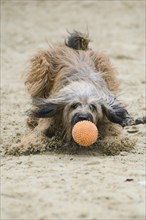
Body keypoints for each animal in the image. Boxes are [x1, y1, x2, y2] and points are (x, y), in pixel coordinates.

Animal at [9, 31, 145, 155]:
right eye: (74, 105)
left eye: (93, 107)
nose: (83, 117)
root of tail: (78, 49)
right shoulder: (50, 119)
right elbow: (37, 133)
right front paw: (22, 145)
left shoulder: (106, 119)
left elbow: (115, 132)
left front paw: (117, 142)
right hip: (42, 74)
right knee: (37, 97)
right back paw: (32, 119)